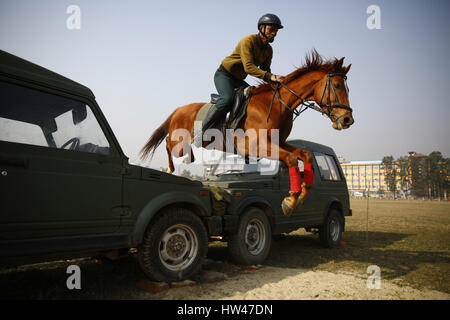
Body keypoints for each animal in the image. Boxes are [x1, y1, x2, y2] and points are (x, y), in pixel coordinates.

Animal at [141, 51, 356, 216]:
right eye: (338, 86)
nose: (347, 120)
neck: (276, 105)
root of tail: (178, 109)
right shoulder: (255, 146)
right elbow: (292, 159)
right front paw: (290, 200)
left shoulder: (279, 142)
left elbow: (305, 155)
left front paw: (299, 195)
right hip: (179, 143)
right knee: (167, 143)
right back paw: (170, 168)